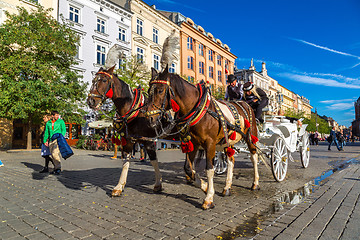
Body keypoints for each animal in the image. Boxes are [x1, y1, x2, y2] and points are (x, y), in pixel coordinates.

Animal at [87, 65, 163, 195]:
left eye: (104, 80)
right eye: (93, 81)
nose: (91, 101)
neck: (136, 111)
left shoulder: (148, 141)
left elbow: (154, 160)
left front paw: (158, 184)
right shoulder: (128, 141)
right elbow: (126, 163)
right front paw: (119, 186)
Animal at [145, 66, 260, 209]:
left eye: (160, 90)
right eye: (149, 91)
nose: (149, 118)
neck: (198, 109)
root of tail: (244, 103)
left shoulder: (210, 144)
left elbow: (209, 169)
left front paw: (209, 197)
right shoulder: (193, 143)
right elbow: (189, 169)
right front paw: (204, 186)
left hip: (250, 136)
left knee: (254, 157)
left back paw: (255, 183)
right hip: (228, 141)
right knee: (231, 160)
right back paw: (227, 187)